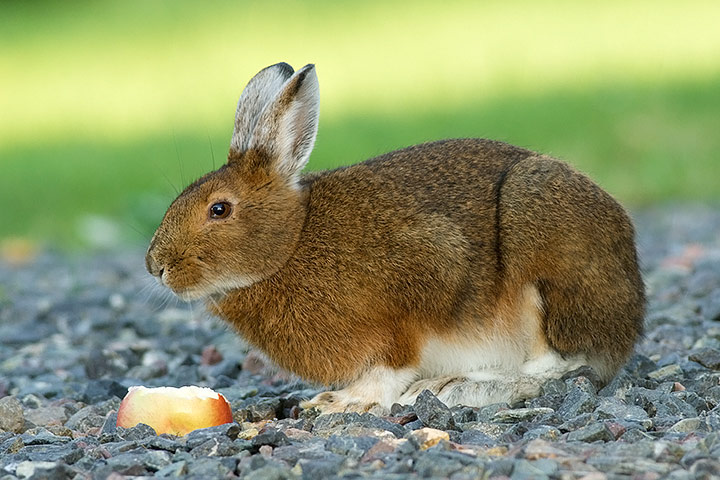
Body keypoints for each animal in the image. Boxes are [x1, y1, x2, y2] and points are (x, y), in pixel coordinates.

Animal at [145, 62, 645, 414]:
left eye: (219, 209)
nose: (157, 266)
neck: (292, 242)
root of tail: (630, 317)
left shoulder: (416, 294)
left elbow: (390, 367)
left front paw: (347, 402)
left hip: (541, 244)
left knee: (557, 366)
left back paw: (454, 388)